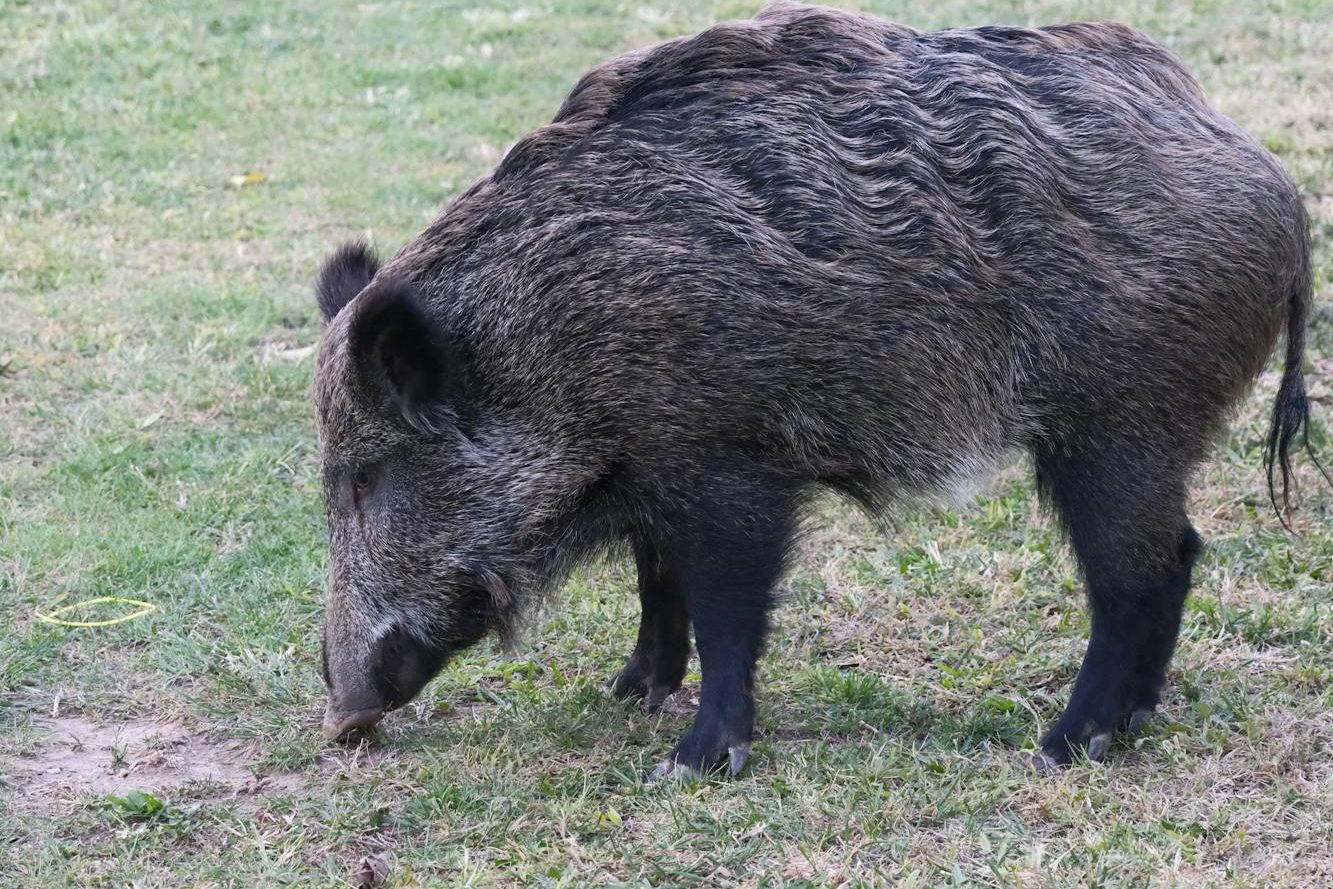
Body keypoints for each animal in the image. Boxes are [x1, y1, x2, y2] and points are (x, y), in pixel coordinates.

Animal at [314, 2, 1315, 779]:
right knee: (1181, 552)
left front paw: (692, 761)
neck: (552, 342)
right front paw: (629, 693)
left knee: (1133, 575)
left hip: (1116, 425)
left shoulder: (726, 461)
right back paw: (1133, 721)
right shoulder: (651, 466)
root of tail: (1276, 185)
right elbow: (655, 578)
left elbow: (725, 606)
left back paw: (1064, 745)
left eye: (365, 478)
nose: (340, 713)